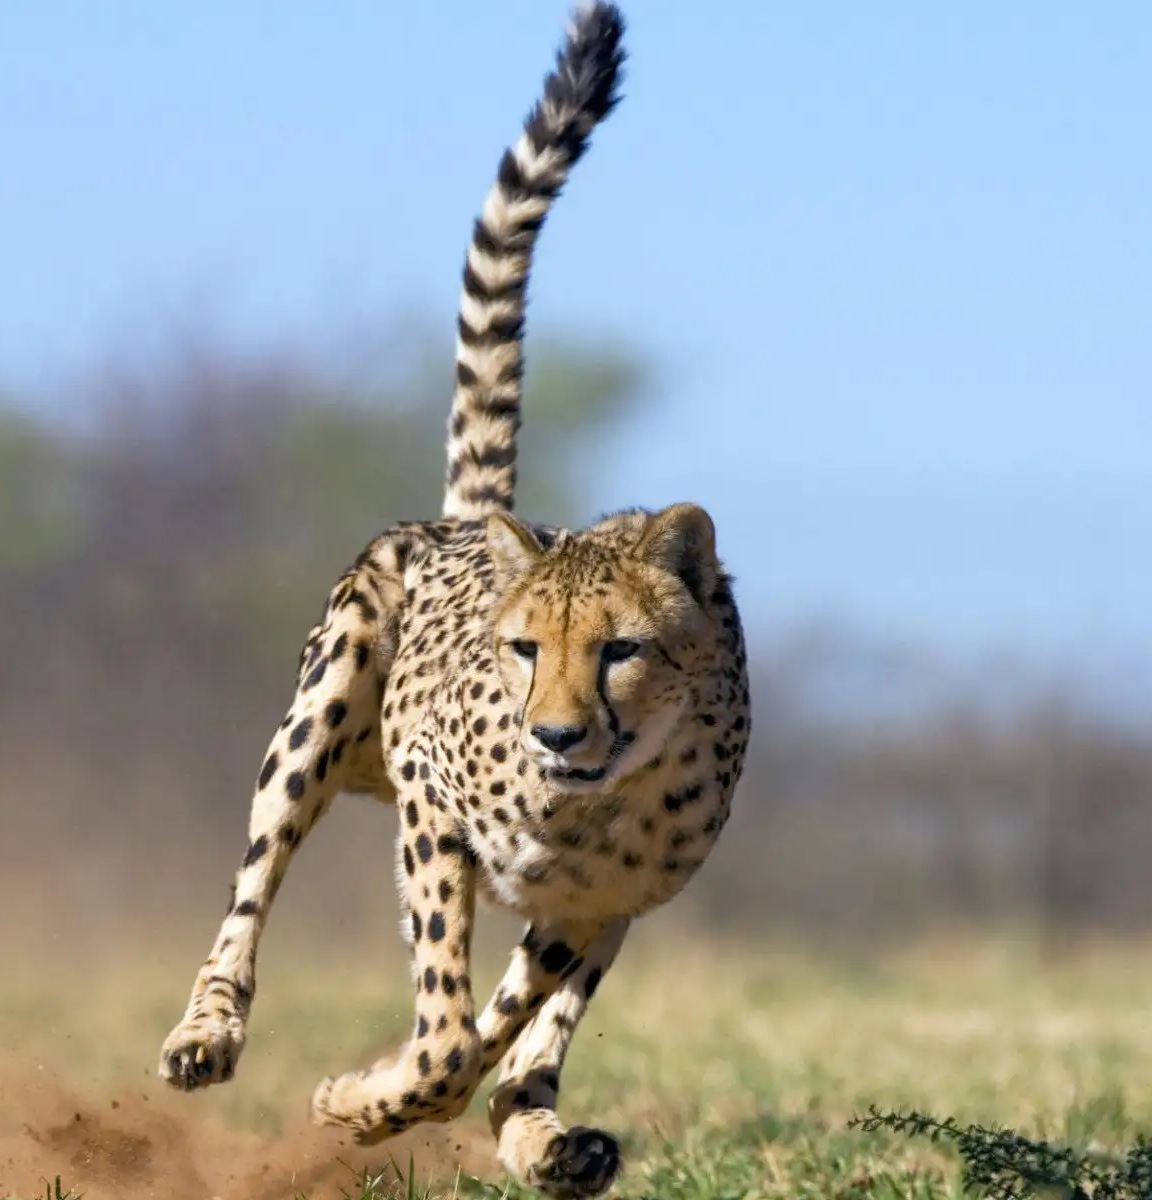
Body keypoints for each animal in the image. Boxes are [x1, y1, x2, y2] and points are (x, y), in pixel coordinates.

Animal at [157, 4, 753, 1195]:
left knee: (527, 1035)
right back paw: (209, 1032)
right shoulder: (432, 807)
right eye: (524, 650)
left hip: (602, 911)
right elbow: (443, 1035)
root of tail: (474, 519)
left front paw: (385, 1101)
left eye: (621, 650)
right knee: (254, 887)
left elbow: (494, 1027)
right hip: (323, 709)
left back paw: (546, 1135)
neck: (595, 797)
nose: (557, 733)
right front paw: (360, 1101)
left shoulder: (596, 900)